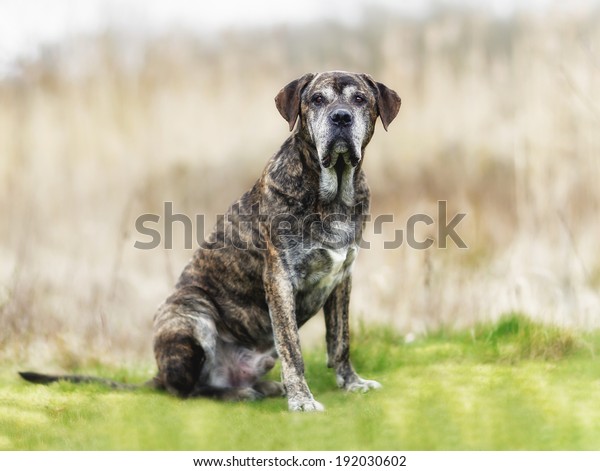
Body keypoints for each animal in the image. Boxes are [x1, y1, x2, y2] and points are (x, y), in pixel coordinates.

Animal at [21, 71, 400, 412]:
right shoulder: (279, 279)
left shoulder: (341, 278)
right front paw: (302, 400)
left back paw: (263, 387)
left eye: (360, 99)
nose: (341, 117)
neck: (332, 190)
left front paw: (351, 383)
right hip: (191, 313)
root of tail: (159, 374)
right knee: (187, 391)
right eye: (317, 99)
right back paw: (238, 393)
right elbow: (293, 348)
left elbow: (340, 340)